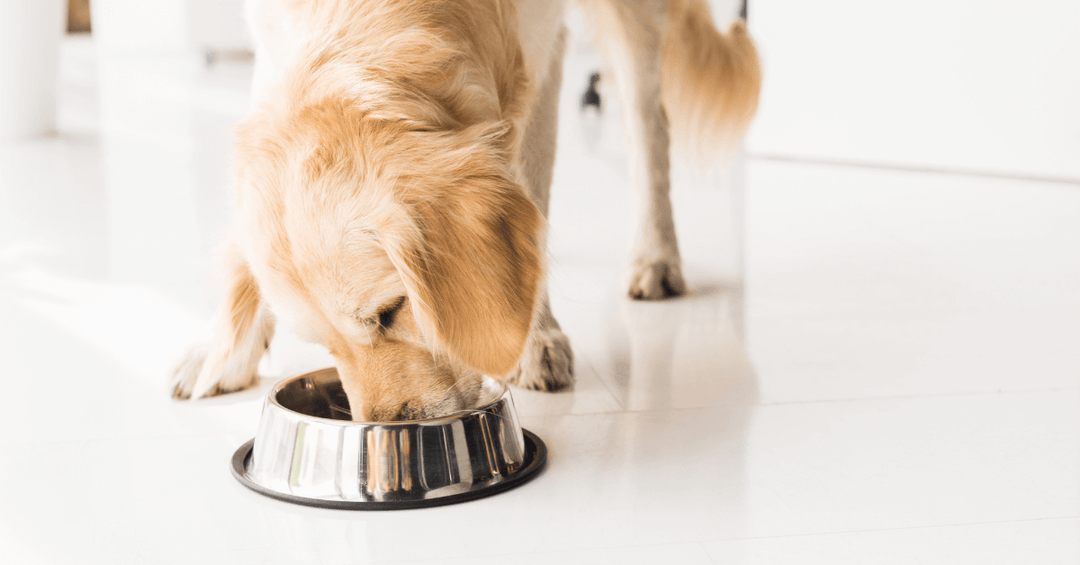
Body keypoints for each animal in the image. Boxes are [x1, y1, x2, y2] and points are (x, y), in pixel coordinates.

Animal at [170, 0, 760, 419]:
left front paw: (533, 338)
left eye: (391, 312)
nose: (386, 427)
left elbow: (530, 184)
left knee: (647, 119)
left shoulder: (533, 53)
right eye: (323, 344)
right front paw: (222, 347)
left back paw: (655, 255)